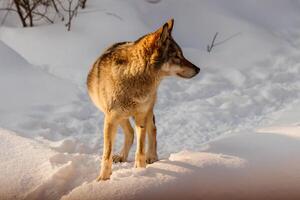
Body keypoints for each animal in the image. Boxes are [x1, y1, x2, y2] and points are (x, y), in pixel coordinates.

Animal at [85, 18, 200, 180]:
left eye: (181, 54)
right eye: (177, 56)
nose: (198, 69)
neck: (133, 78)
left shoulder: (141, 116)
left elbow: (140, 149)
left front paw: (140, 171)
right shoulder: (110, 119)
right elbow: (106, 155)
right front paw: (103, 179)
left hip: (146, 111)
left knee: (152, 129)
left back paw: (151, 157)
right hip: (118, 116)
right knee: (130, 133)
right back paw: (122, 156)